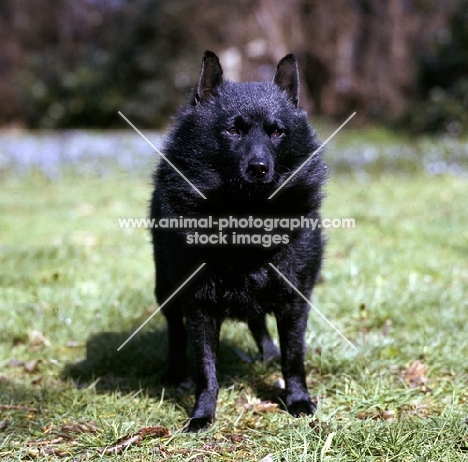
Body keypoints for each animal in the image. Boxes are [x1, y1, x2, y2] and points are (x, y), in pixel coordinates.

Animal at [150, 51, 326, 434]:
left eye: (277, 131)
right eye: (232, 130)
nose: (259, 167)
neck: (246, 217)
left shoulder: (294, 300)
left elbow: (294, 358)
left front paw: (298, 400)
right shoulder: (198, 305)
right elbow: (206, 369)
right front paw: (202, 414)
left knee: (258, 322)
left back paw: (268, 354)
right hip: (165, 287)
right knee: (175, 331)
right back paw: (175, 373)